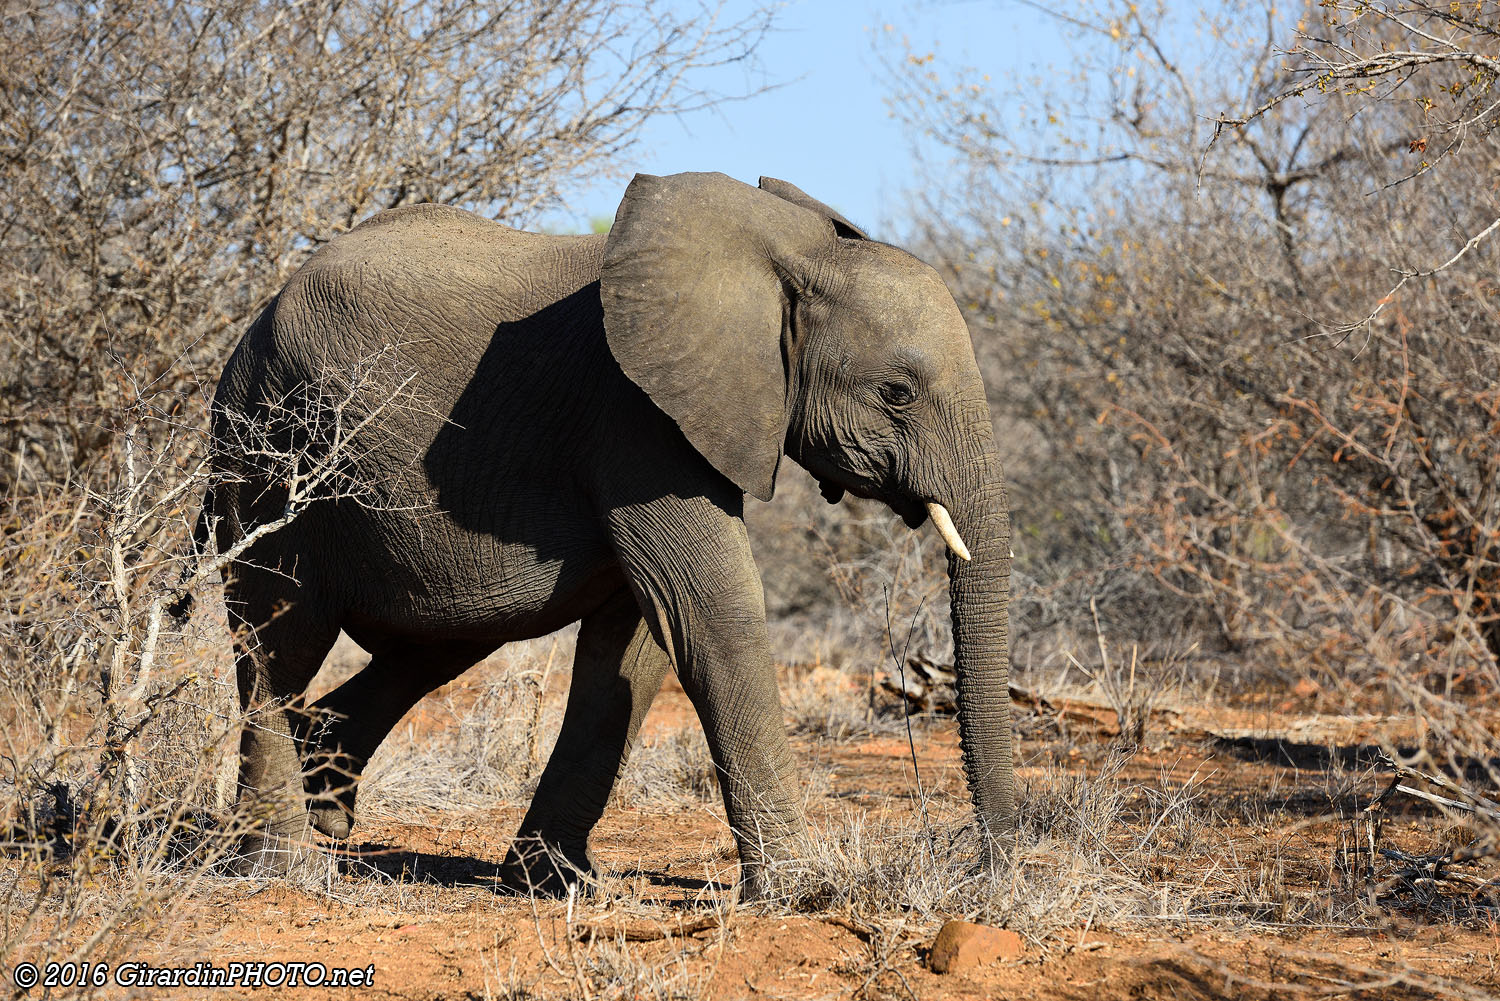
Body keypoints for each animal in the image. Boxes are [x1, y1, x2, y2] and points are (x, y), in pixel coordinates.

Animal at [202, 171, 1015, 893]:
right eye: (897, 393)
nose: (989, 863)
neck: (787, 250)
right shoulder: (635, 417)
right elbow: (709, 612)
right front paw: (804, 888)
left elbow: (637, 644)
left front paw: (554, 884)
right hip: (271, 453)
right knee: (282, 637)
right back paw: (281, 868)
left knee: (430, 645)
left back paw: (327, 808)